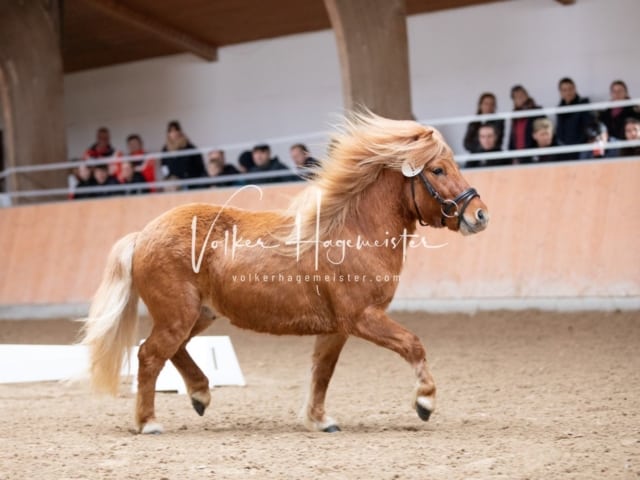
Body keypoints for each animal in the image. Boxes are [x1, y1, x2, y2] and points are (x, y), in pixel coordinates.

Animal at [81, 113, 490, 436]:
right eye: (438, 170)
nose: (480, 214)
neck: (352, 232)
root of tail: (143, 234)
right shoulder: (363, 318)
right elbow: (413, 344)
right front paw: (425, 402)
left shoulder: (337, 327)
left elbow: (322, 372)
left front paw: (320, 419)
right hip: (177, 315)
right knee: (150, 355)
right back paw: (148, 422)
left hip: (199, 315)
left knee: (173, 351)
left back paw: (200, 394)